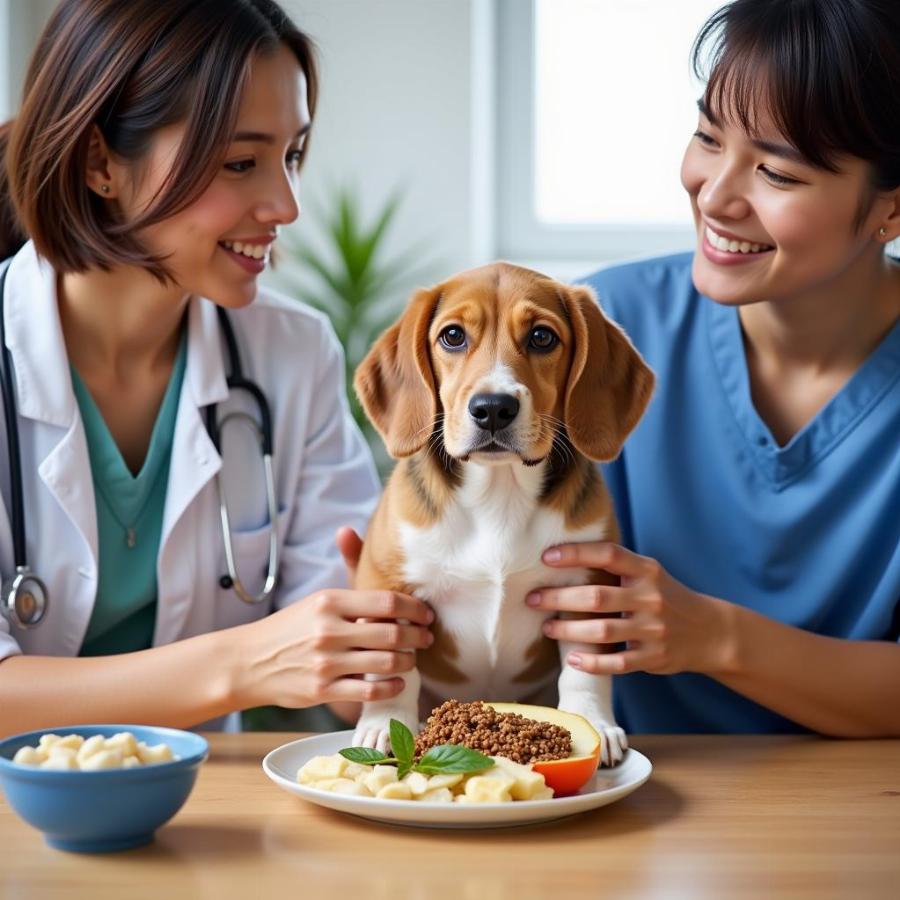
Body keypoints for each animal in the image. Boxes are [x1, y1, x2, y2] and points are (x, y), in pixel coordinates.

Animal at [352, 262, 652, 768]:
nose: (493, 408)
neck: (499, 493)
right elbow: (393, 672)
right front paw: (382, 725)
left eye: (542, 337)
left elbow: (583, 670)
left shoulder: (586, 587)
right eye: (453, 336)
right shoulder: (388, 588)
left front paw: (596, 723)